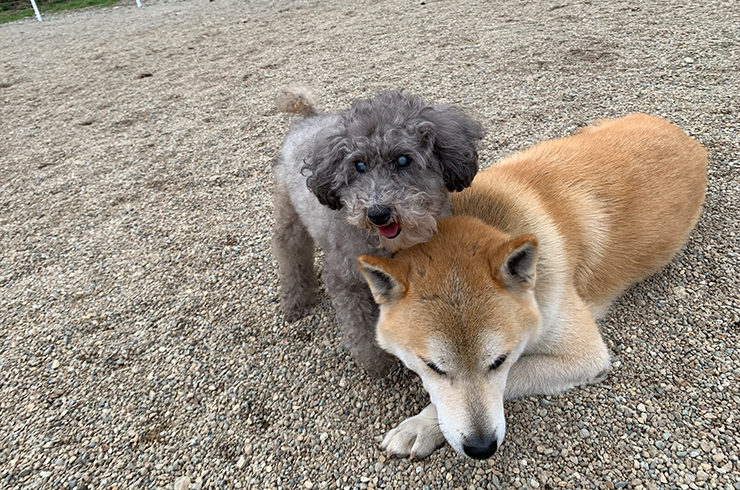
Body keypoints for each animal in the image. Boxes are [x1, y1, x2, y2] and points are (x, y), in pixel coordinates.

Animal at [272, 86, 484, 376]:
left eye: (403, 160)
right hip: (289, 216)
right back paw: (296, 301)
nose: (377, 213)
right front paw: (377, 362)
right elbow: (361, 330)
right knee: (290, 253)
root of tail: (309, 118)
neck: (392, 247)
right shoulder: (345, 279)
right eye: (359, 165)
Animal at [358, 113, 707, 458]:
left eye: (499, 361)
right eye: (432, 367)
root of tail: (690, 141)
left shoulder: (584, 356)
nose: (481, 447)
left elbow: (511, 377)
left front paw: (422, 425)